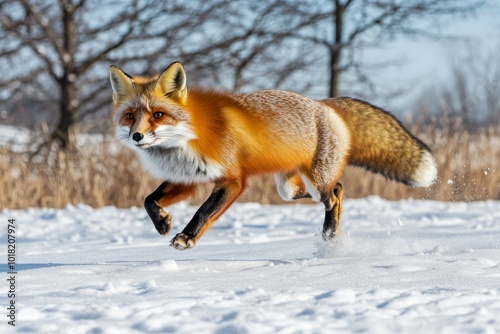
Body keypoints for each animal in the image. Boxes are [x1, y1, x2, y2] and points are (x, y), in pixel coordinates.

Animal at [109, 61, 438, 249]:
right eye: (130, 116)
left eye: (158, 114)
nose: (137, 136)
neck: (189, 138)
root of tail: (325, 104)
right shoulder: (189, 178)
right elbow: (148, 199)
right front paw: (162, 223)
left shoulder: (232, 180)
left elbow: (203, 211)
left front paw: (186, 238)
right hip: (289, 189)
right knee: (338, 189)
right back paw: (331, 233)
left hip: (316, 181)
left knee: (334, 195)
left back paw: (329, 235)